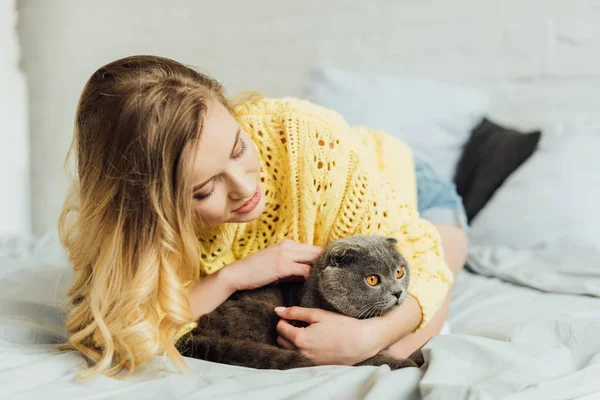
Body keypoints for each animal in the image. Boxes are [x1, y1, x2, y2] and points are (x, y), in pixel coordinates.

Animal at [176, 236, 414, 370]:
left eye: (399, 272)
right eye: (372, 279)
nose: (398, 292)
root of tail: (194, 334)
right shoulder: (341, 355)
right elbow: (371, 359)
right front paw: (406, 363)